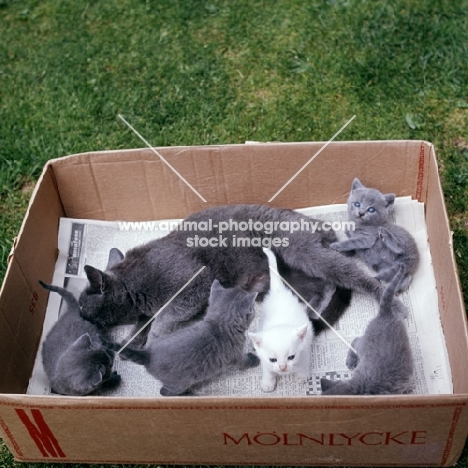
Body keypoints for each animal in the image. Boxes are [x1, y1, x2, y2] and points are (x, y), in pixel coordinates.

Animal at [117, 280, 262, 396]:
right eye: (253, 310)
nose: (255, 310)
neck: (219, 325)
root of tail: (147, 355)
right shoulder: (235, 354)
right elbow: (243, 362)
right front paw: (254, 359)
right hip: (180, 382)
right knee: (164, 392)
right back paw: (189, 394)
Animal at [249, 249, 310, 392]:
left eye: (291, 357)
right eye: (273, 359)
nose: (283, 367)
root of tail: (278, 291)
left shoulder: (305, 350)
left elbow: (303, 364)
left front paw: (302, 376)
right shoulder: (264, 360)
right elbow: (267, 370)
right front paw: (268, 383)